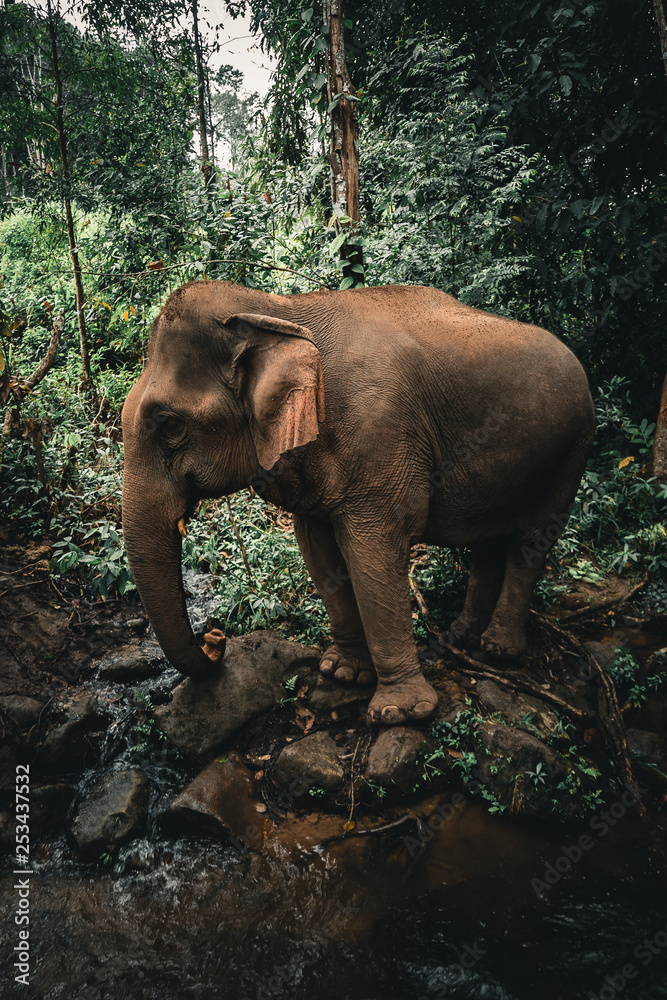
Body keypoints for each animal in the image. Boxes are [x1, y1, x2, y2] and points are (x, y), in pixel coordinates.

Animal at [121, 280, 595, 726]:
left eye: (168, 423)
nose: (215, 638)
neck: (278, 310)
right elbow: (318, 551)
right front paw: (343, 674)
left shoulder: (382, 438)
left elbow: (373, 552)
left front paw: (399, 713)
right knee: (490, 540)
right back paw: (459, 638)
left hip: (574, 443)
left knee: (533, 541)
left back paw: (498, 650)